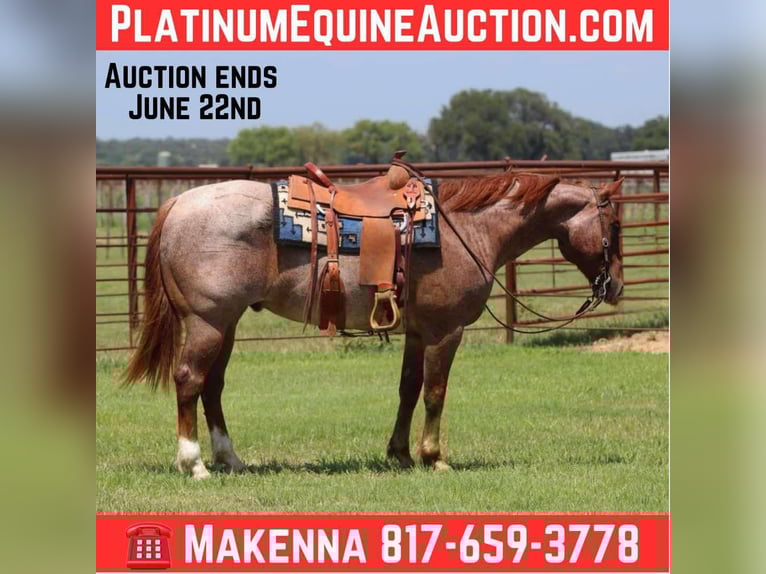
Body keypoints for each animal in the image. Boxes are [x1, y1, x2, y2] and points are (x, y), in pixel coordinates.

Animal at [124, 169, 624, 479]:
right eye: (615, 226)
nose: (615, 285)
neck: (467, 229)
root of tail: (178, 202)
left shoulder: (418, 332)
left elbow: (408, 389)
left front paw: (399, 455)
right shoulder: (445, 331)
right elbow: (435, 392)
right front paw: (434, 458)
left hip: (225, 324)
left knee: (212, 387)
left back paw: (231, 460)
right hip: (208, 321)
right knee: (189, 380)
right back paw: (194, 464)